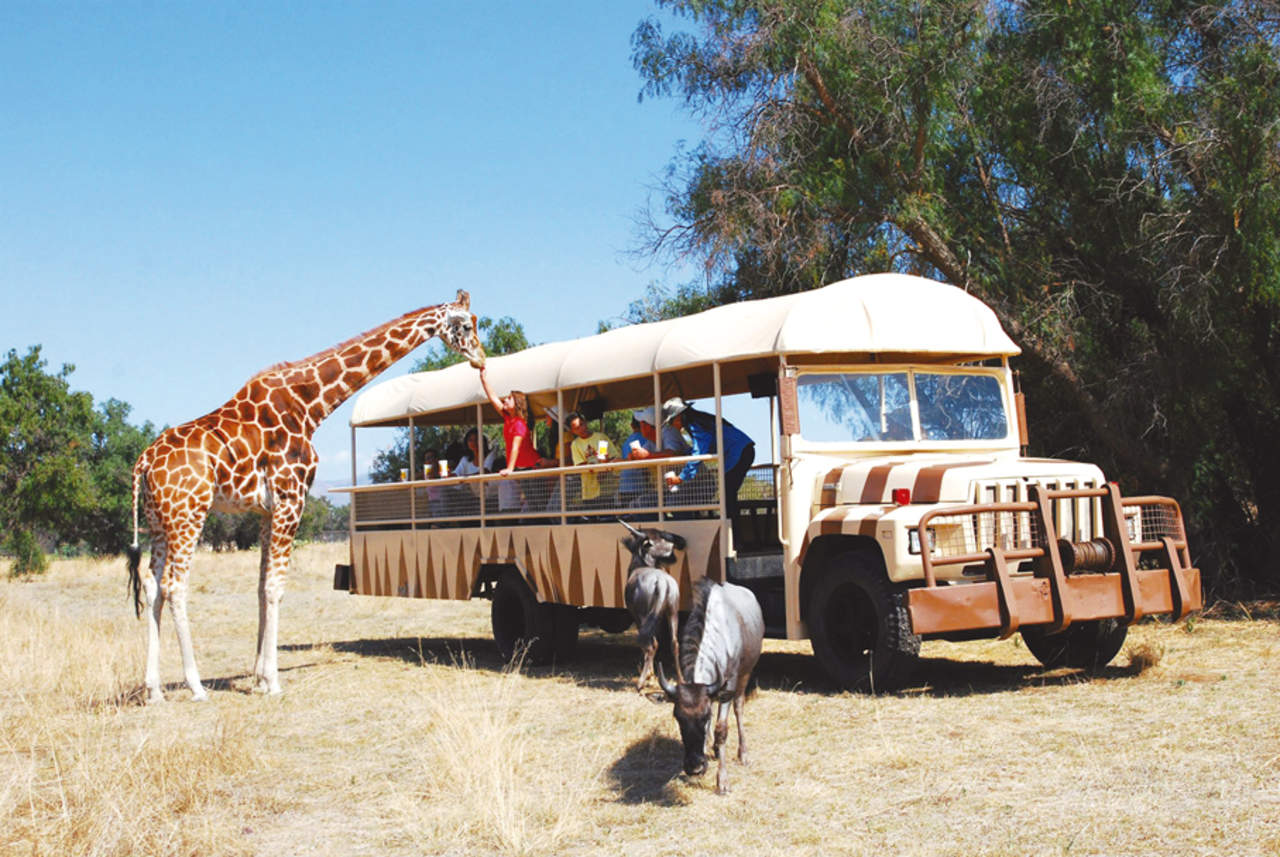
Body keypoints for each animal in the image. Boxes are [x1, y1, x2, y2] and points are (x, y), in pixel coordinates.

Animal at [622, 519, 691, 695]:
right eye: (660, 536)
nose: (679, 542)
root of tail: (662, 583)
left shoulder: (637, 617)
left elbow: (650, 644)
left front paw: (649, 676)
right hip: (672, 612)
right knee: (674, 643)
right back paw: (681, 680)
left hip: (645, 616)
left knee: (650, 645)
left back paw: (640, 683)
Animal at [660, 578, 757, 798]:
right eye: (678, 718)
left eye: (704, 717)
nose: (694, 767)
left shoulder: (728, 686)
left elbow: (721, 730)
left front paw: (723, 782)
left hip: (745, 674)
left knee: (739, 708)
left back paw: (743, 754)